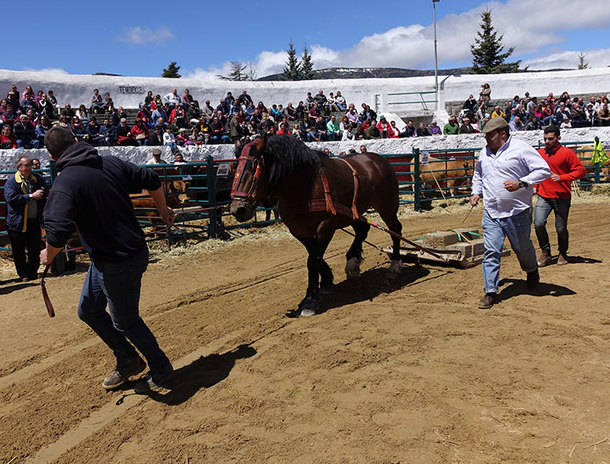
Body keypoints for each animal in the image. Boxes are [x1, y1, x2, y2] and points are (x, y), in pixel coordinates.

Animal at [228, 134, 400, 316]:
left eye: (253, 168)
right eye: (235, 167)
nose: (238, 209)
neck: (305, 187)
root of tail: (378, 160)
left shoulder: (325, 227)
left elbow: (313, 260)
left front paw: (310, 301)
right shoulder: (299, 230)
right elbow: (314, 257)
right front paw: (325, 282)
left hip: (387, 207)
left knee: (395, 229)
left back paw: (395, 264)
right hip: (353, 212)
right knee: (363, 230)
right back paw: (352, 263)